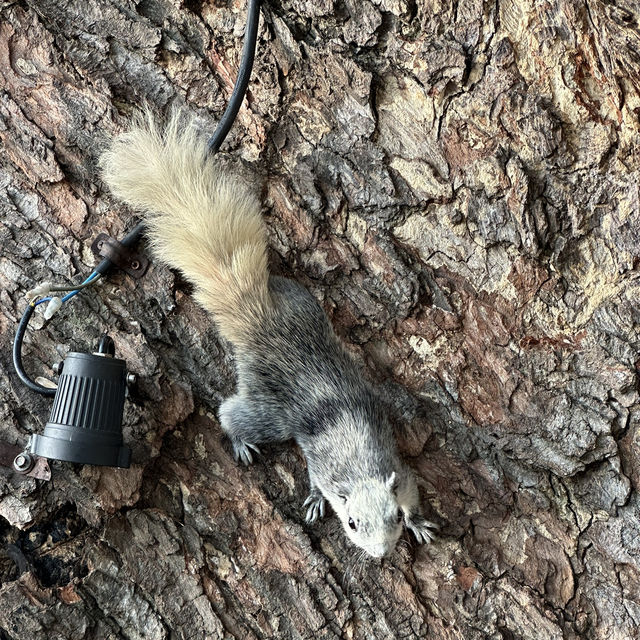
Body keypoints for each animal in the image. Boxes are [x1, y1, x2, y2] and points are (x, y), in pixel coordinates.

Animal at [100, 112, 438, 556]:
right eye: (351, 523)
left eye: (393, 517)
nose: (381, 552)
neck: (360, 462)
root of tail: (259, 318)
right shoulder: (323, 466)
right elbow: (316, 482)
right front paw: (315, 500)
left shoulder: (400, 473)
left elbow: (413, 493)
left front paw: (419, 523)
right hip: (269, 412)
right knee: (231, 414)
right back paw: (241, 442)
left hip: (298, 299)